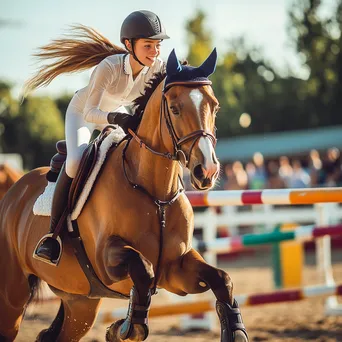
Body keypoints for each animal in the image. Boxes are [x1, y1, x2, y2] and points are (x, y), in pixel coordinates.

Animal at [0, 48, 247, 342]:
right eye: (175, 109)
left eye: (214, 106)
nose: (206, 171)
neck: (155, 195)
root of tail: (13, 193)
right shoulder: (107, 260)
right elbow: (142, 269)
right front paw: (124, 327)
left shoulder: (177, 270)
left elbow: (222, 279)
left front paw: (235, 329)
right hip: (12, 298)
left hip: (80, 303)